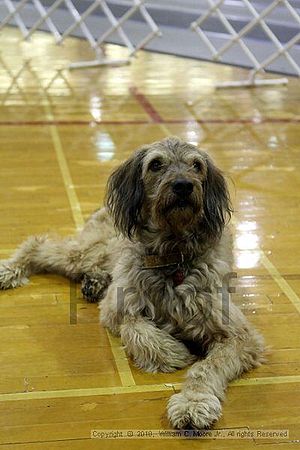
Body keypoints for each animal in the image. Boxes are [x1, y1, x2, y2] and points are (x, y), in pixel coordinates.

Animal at [0, 136, 264, 428]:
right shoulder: (117, 309)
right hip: (89, 252)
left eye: (197, 165)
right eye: (156, 164)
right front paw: (174, 353)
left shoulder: (239, 336)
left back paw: (93, 282)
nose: (183, 185)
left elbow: (205, 368)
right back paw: (10, 269)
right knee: (38, 245)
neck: (172, 256)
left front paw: (193, 402)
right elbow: (136, 328)